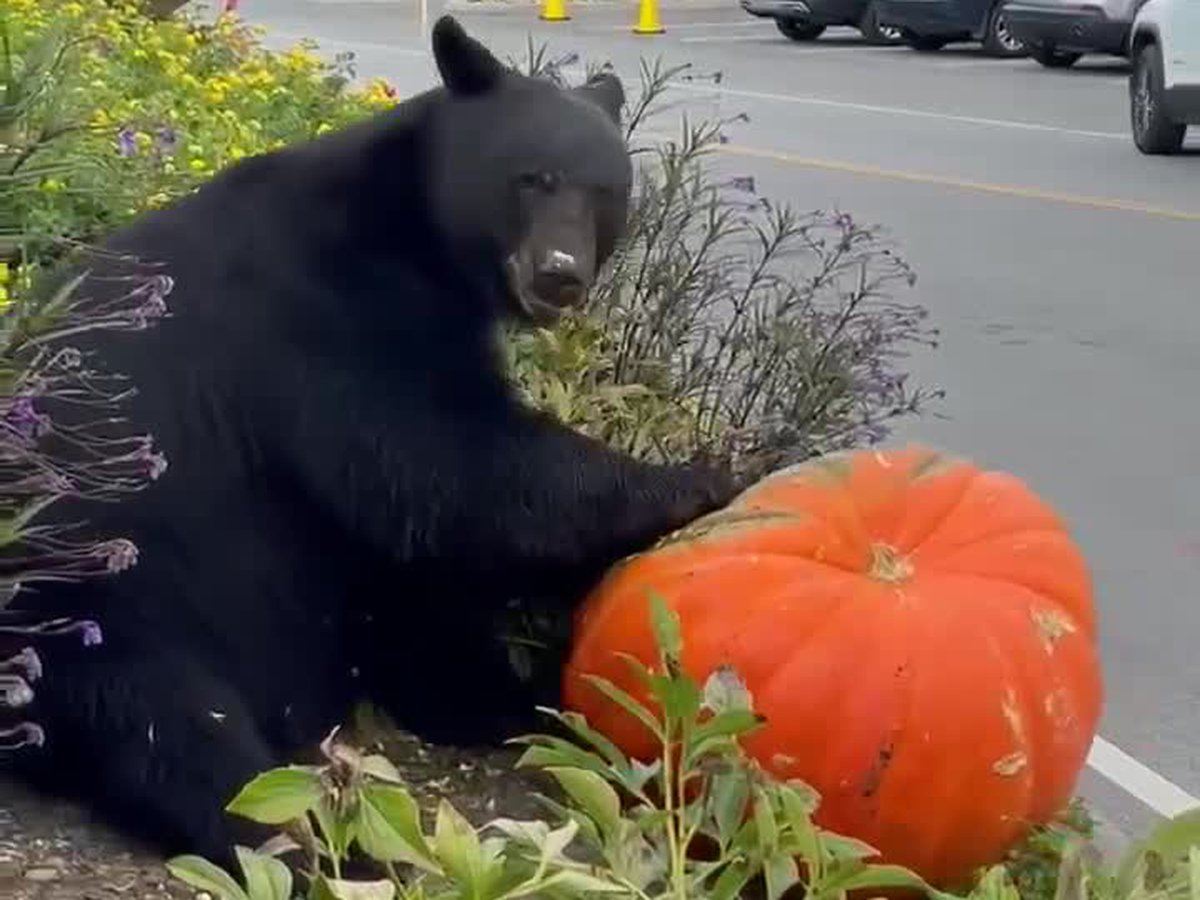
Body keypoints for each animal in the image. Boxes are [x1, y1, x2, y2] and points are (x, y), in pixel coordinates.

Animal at [3, 15, 736, 868]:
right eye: (532, 177)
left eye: (606, 194)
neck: (414, 231)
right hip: (105, 603)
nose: (560, 276)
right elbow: (438, 462)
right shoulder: (326, 308)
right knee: (180, 736)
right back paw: (325, 845)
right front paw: (705, 474)